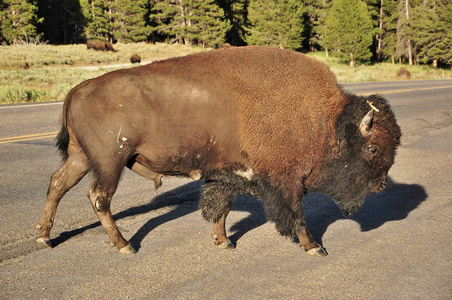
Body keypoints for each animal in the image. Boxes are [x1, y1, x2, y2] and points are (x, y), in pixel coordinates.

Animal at [37, 45, 400, 256]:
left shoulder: (228, 173)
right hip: (109, 163)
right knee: (98, 197)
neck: (325, 119)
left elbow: (220, 207)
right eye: (372, 148)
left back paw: (44, 237)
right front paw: (315, 248)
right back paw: (125, 245)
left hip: (81, 158)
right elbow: (296, 215)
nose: (382, 185)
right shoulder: (286, 181)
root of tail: (75, 90)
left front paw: (223, 241)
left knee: (57, 183)